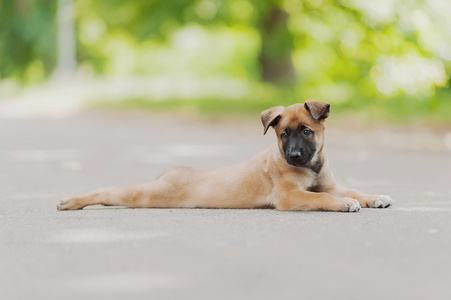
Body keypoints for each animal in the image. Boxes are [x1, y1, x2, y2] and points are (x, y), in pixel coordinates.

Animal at [56, 99, 394, 212]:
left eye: (307, 131)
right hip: (149, 195)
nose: (295, 154)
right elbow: (321, 198)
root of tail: (172, 171)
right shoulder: (290, 197)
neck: (312, 165)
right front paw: (344, 204)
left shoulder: (330, 184)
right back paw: (72, 201)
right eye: (284, 134)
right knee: (110, 191)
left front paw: (375, 197)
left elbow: (353, 189)